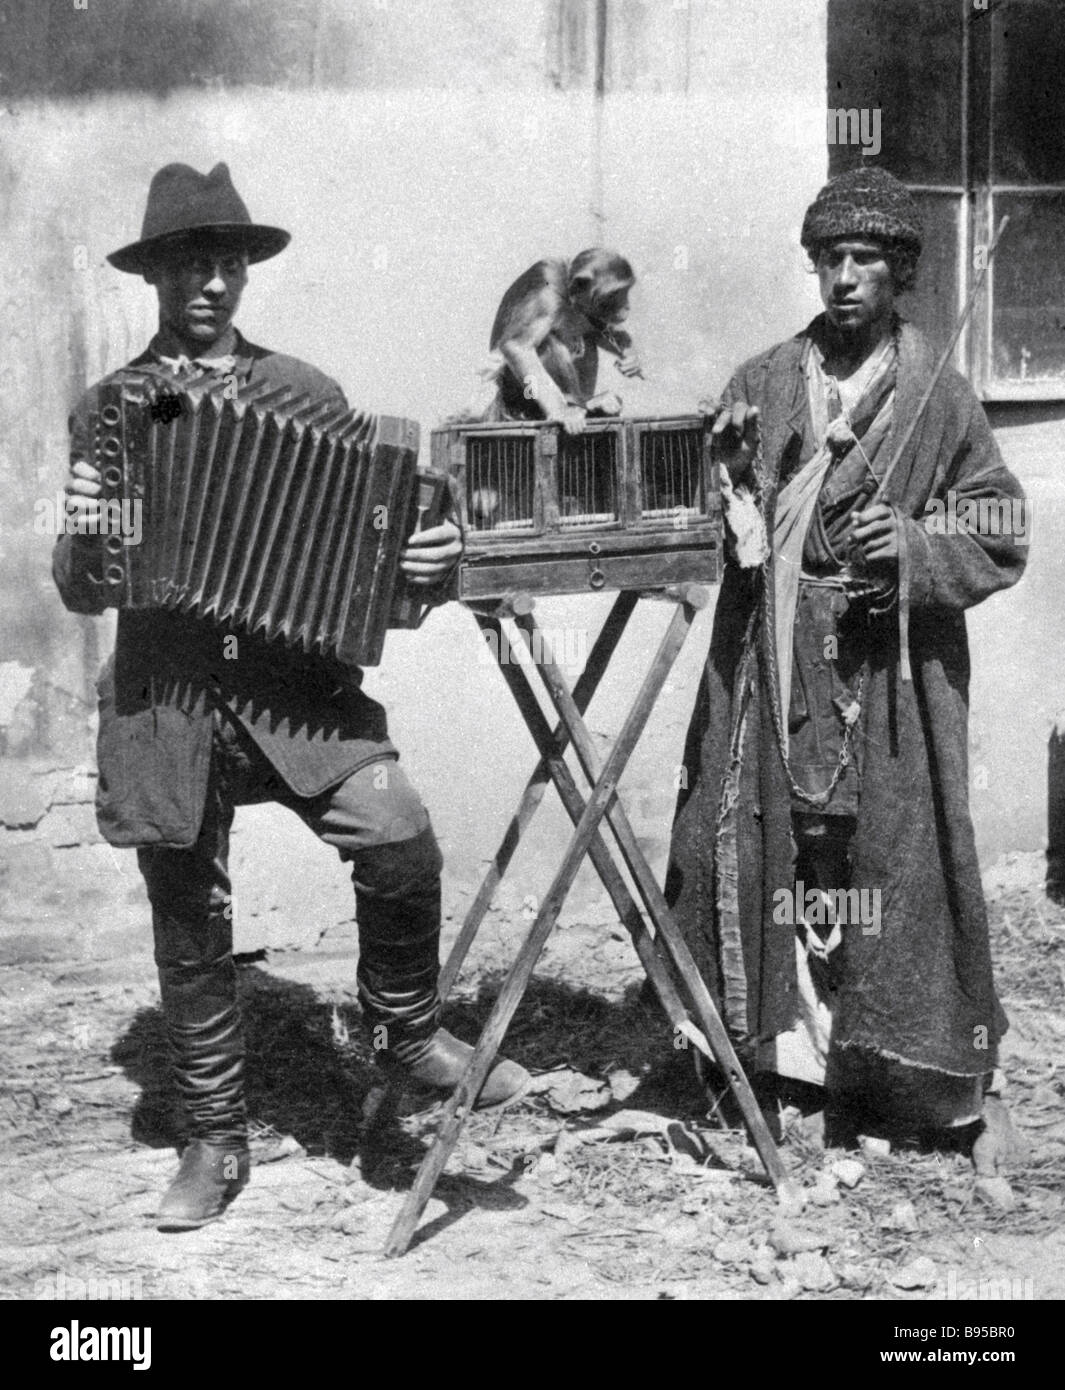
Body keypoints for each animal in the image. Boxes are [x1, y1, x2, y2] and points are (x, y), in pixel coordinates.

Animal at [483, 248, 642, 433]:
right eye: (616, 293)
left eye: (626, 290)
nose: (627, 307)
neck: (566, 289)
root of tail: (502, 403)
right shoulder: (545, 297)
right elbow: (518, 347)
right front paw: (562, 412)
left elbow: (597, 330)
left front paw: (632, 356)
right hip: (515, 396)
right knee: (547, 342)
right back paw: (578, 403)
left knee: (586, 340)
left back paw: (587, 403)